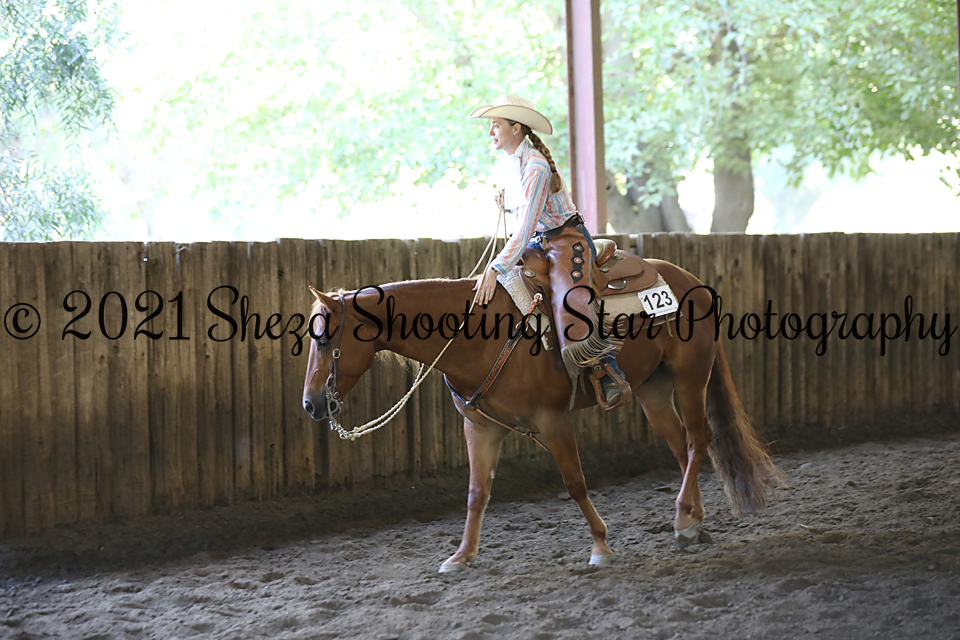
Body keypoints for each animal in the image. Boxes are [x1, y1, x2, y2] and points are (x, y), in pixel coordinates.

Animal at [302, 258, 780, 573]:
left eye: (325, 340)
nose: (310, 404)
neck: (477, 335)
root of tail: (690, 279)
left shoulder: (553, 420)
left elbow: (575, 483)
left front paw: (601, 546)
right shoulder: (479, 427)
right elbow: (476, 493)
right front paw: (462, 556)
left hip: (690, 376)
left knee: (700, 442)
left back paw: (683, 520)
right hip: (653, 389)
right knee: (682, 449)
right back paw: (693, 521)